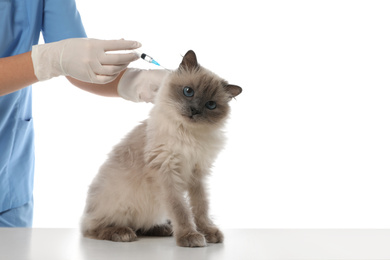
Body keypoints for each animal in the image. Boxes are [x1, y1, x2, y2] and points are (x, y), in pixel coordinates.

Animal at [81, 49, 242, 247]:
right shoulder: (166, 173)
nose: (194, 110)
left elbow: (201, 207)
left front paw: (207, 232)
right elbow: (180, 209)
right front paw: (190, 236)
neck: (188, 135)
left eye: (210, 105)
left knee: (141, 226)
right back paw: (122, 233)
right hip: (117, 207)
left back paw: (163, 229)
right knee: (93, 229)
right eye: (188, 91)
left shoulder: (197, 175)